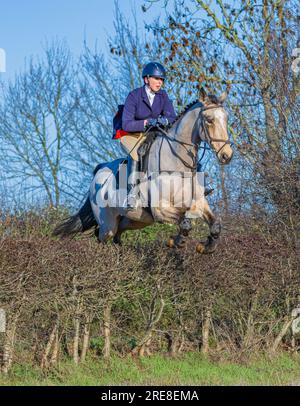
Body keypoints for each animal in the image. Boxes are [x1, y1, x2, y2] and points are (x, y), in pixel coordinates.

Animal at [53, 89, 232, 254]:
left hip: (134, 220)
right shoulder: (160, 210)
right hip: (107, 224)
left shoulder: (198, 203)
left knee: (118, 234)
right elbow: (185, 223)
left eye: (226, 118)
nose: (227, 155)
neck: (177, 165)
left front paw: (206, 246)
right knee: (102, 236)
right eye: (209, 120)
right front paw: (176, 241)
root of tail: (99, 170)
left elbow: (214, 224)